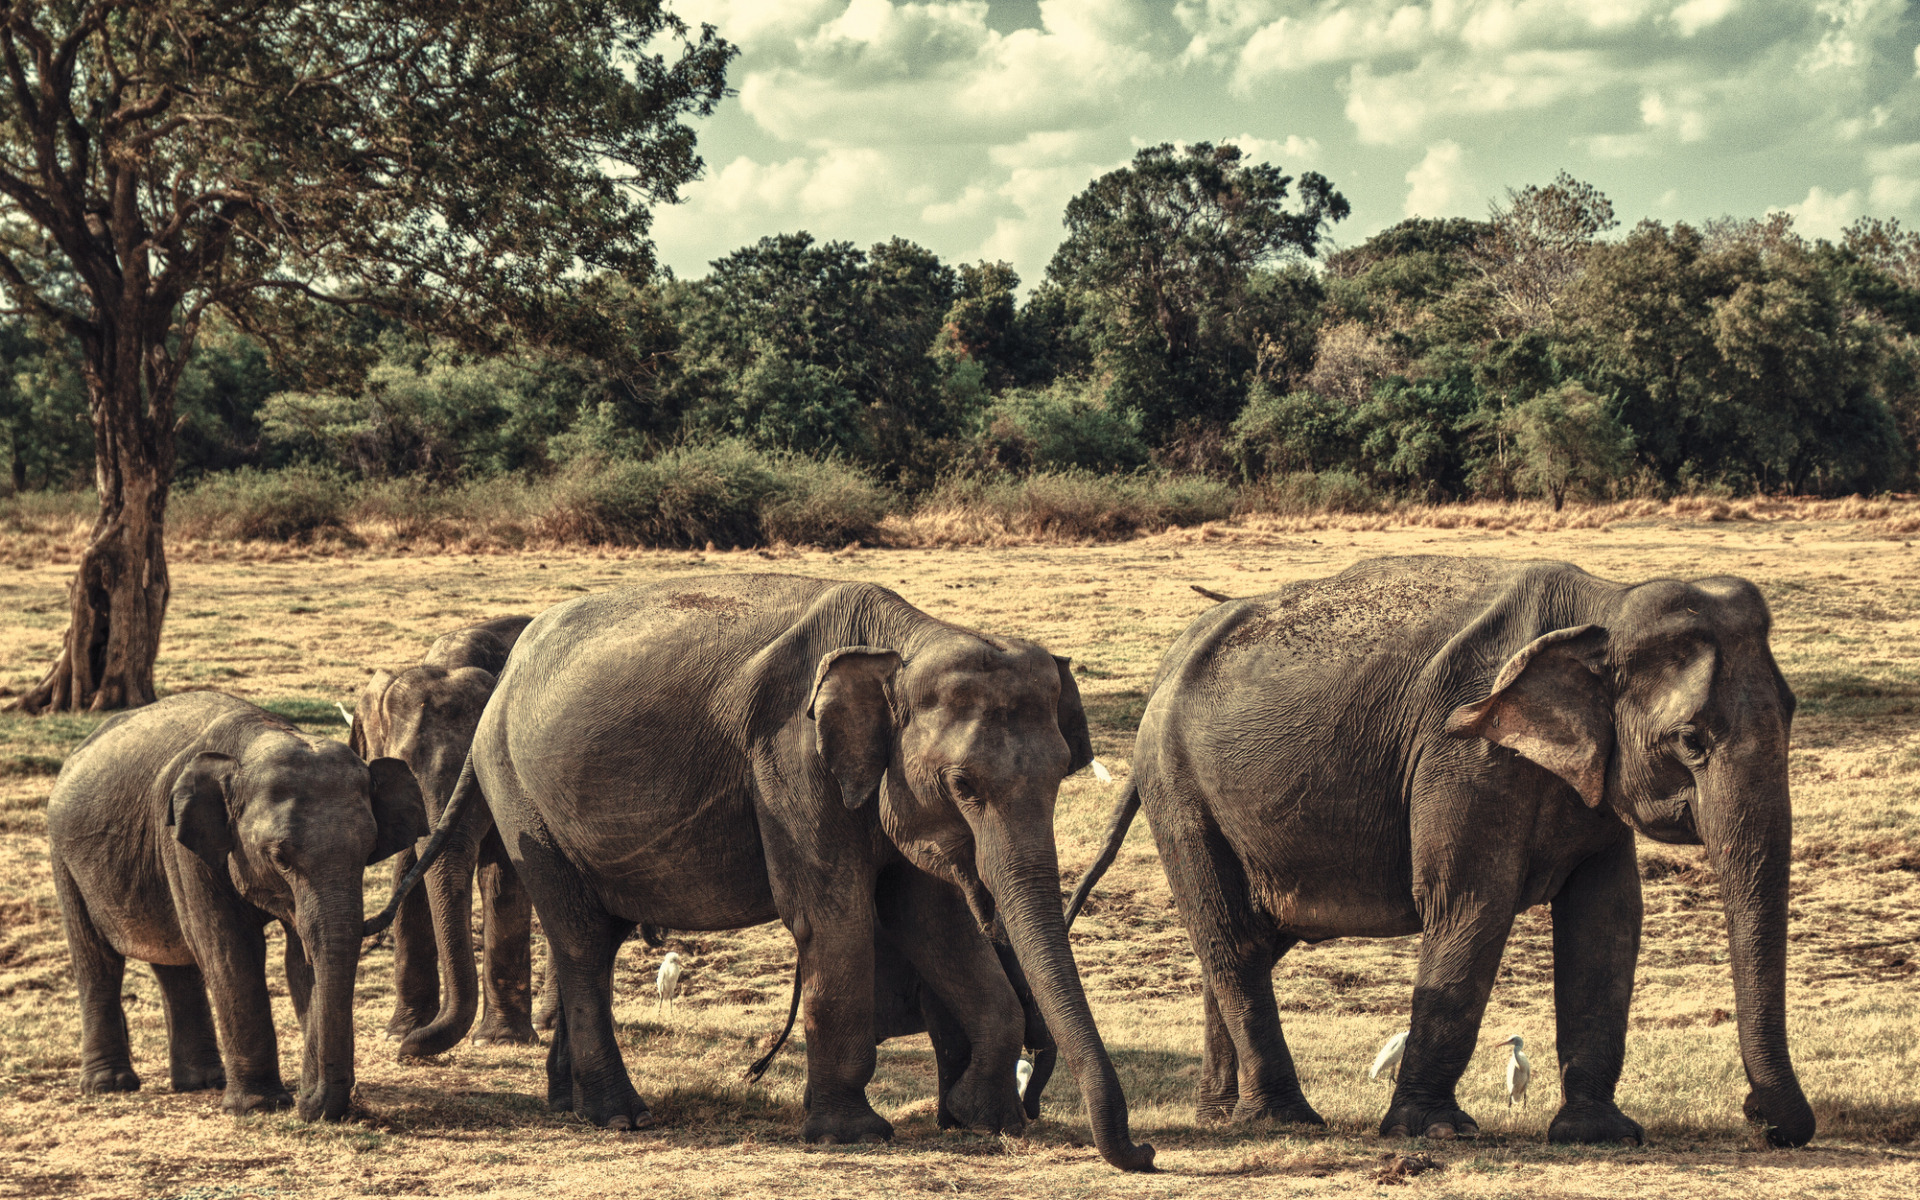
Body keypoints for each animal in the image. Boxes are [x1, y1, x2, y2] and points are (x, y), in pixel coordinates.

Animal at [46, 687, 430, 1121]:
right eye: (280, 857)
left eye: (368, 851)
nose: (310, 1103)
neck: (260, 737)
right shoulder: (183, 843)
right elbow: (231, 949)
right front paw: (260, 1106)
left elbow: (301, 957)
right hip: (64, 856)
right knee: (97, 960)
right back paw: (109, 1085)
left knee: (176, 961)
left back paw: (203, 1082)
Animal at [347, 614, 537, 1052]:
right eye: (398, 773)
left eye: (477, 778)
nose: (406, 1054)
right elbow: (409, 877)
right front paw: (401, 1031)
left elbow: (502, 879)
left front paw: (497, 1040)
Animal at [374, 576, 1152, 1167]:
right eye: (963, 784)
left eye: (1063, 772)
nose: (1143, 1153)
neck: (904, 642)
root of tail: (502, 681)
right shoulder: (788, 760)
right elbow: (832, 917)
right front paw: (853, 1137)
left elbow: (932, 921)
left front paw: (981, 1119)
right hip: (521, 797)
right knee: (581, 939)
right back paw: (620, 1117)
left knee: (595, 937)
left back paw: (571, 1103)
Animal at [1067, 556, 1812, 1144]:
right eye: (1690, 740)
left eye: (1793, 709)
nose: (1763, 1119)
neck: (1605, 603)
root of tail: (1169, 664)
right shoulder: (1462, 752)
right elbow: (1470, 902)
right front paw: (1436, 1131)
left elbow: (1607, 919)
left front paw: (1600, 1134)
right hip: (1180, 790)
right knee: (1231, 937)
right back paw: (1284, 1121)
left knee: (1244, 942)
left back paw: (1224, 1117)